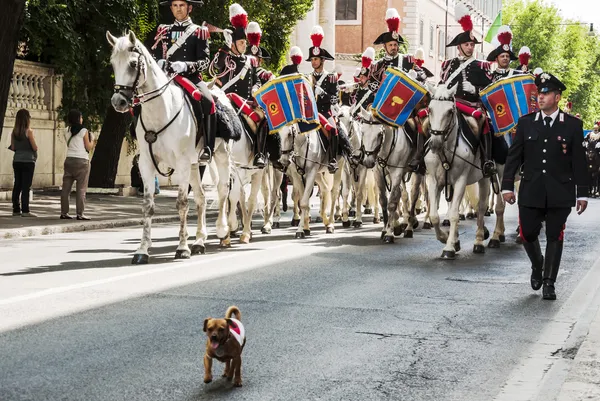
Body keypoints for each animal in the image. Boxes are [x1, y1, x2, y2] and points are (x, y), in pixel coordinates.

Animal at [106, 31, 231, 262]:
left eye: (133, 63)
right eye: (112, 63)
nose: (118, 102)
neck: (161, 110)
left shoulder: (181, 163)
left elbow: (181, 204)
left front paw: (182, 248)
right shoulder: (146, 164)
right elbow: (148, 206)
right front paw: (142, 250)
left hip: (220, 155)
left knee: (222, 190)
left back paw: (222, 230)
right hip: (194, 164)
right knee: (201, 197)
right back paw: (199, 241)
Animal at [424, 85, 490, 260]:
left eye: (449, 111)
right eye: (430, 109)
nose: (434, 144)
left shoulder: (461, 180)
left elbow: (454, 214)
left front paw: (449, 248)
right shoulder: (433, 180)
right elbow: (434, 215)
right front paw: (445, 238)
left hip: (486, 177)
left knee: (482, 207)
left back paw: (480, 241)